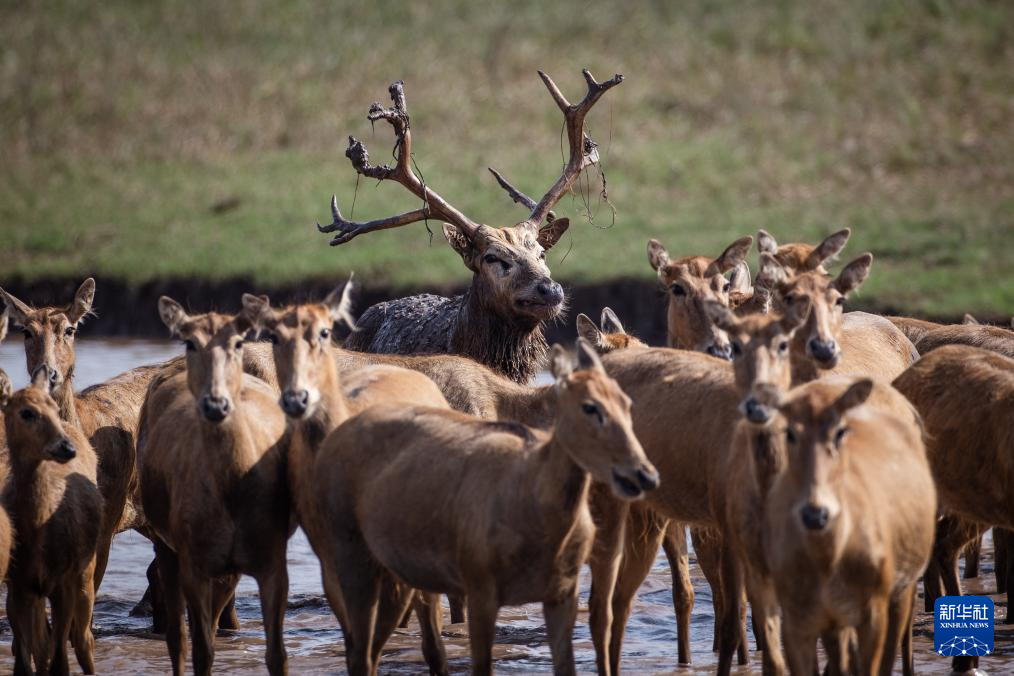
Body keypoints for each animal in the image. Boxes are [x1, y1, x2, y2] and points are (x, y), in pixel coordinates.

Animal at [3, 367, 104, 676]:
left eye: (54, 409)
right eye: (26, 412)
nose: (66, 448)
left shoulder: (63, 580)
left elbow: (60, 660)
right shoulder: (19, 584)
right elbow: (26, 662)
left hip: (85, 570)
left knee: (83, 640)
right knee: (43, 646)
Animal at [139, 299, 292, 676]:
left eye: (237, 342)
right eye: (189, 341)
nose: (215, 402)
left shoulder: (272, 559)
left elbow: (277, 654)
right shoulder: (194, 559)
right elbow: (201, 650)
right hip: (167, 541)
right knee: (177, 636)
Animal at [765, 378, 936, 676]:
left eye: (839, 431)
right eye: (790, 433)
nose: (816, 514)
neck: (827, 558)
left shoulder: (873, 611)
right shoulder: (797, 619)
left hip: (901, 591)